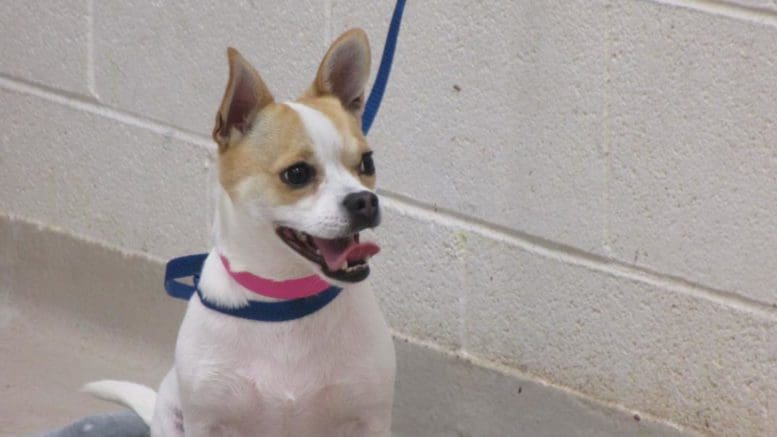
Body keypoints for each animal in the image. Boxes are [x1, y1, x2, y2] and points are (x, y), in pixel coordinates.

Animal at [85, 29, 394, 434]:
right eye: (297, 174)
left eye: (367, 163)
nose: (364, 201)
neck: (285, 301)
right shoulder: (205, 422)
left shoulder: (372, 420)